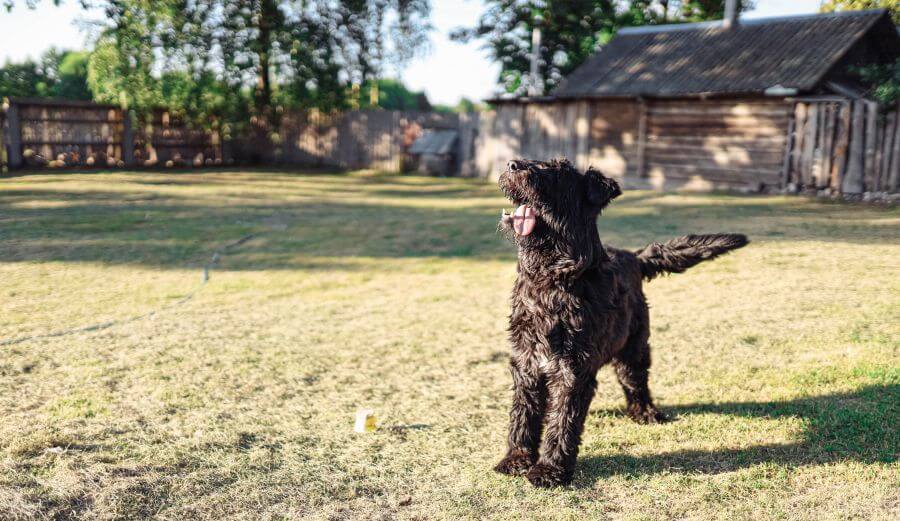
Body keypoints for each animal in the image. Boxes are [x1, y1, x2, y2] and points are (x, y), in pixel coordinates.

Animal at [492, 158, 744, 488]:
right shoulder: (527, 362)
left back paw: (645, 413)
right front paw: (517, 459)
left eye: (556, 172)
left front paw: (549, 470)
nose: (512, 164)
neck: (553, 276)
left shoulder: (572, 369)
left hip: (634, 347)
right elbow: (523, 414)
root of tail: (635, 257)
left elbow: (562, 421)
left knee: (636, 381)